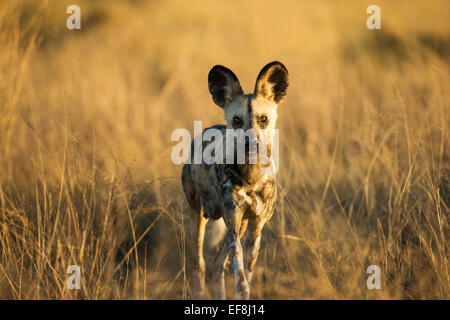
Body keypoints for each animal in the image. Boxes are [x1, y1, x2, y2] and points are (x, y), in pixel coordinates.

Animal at [182, 62, 288, 300]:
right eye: (237, 121)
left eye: (263, 119)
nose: (251, 144)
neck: (251, 177)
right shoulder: (232, 226)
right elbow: (241, 280)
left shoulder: (255, 229)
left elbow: (246, 275)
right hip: (198, 218)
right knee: (199, 264)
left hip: (240, 227)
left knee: (216, 264)